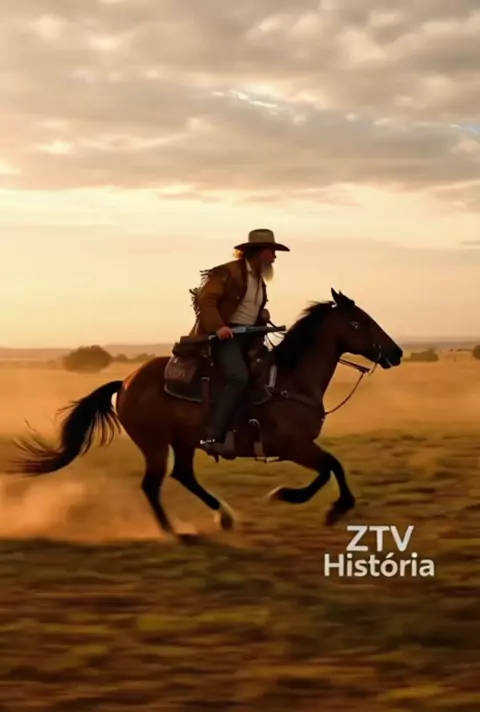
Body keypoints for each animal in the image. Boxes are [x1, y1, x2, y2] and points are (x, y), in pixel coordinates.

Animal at [8, 289, 403, 540]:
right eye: (360, 322)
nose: (396, 352)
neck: (292, 380)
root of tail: (127, 382)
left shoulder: (298, 447)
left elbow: (331, 467)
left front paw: (326, 505)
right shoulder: (293, 446)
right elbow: (328, 469)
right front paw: (304, 500)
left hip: (183, 442)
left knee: (183, 475)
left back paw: (223, 516)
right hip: (155, 443)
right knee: (153, 484)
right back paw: (175, 532)